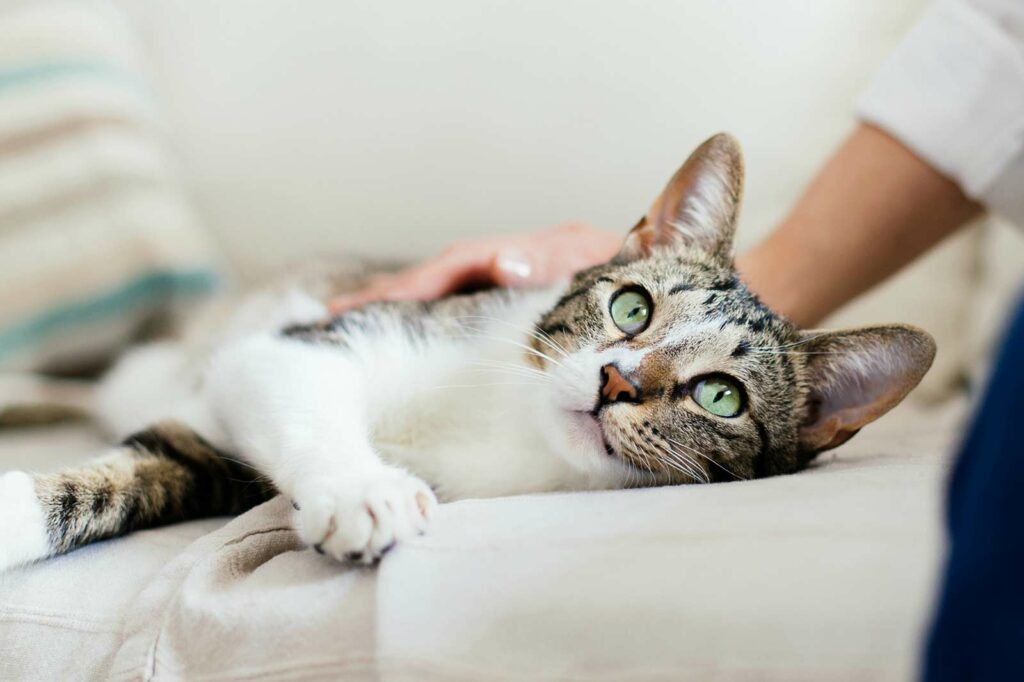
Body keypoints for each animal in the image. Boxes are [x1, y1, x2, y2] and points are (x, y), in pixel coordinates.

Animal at [0, 134, 937, 569]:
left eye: (720, 397)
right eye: (630, 308)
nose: (616, 380)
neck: (509, 423)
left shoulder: (217, 458)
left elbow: (140, 478)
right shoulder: (310, 339)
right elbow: (287, 386)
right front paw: (365, 488)